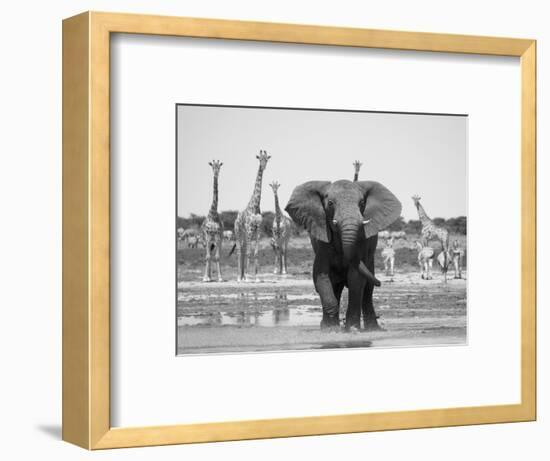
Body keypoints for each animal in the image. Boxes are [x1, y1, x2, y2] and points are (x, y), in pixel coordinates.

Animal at [234, 150, 270, 280]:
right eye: (260, 159)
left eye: (267, 159)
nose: (263, 167)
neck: (255, 206)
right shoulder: (249, 228)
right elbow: (249, 252)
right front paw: (248, 277)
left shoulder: (258, 229)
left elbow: (255, 252)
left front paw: (257, 277)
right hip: (238, 232)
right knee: (240, 251)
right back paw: (239, 277)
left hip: (245, 235)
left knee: (243, 250)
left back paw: (242, 276)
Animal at [286, 178, 404, 328]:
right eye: (330, 203)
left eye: (362, 203)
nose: (381, 283)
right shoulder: (322, 240)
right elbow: (321, 275)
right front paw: (329, 329)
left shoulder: (361, 242)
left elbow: (356, 278)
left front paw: (352, 329)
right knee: (336, 285)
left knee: (367, 290)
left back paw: (372, 329)